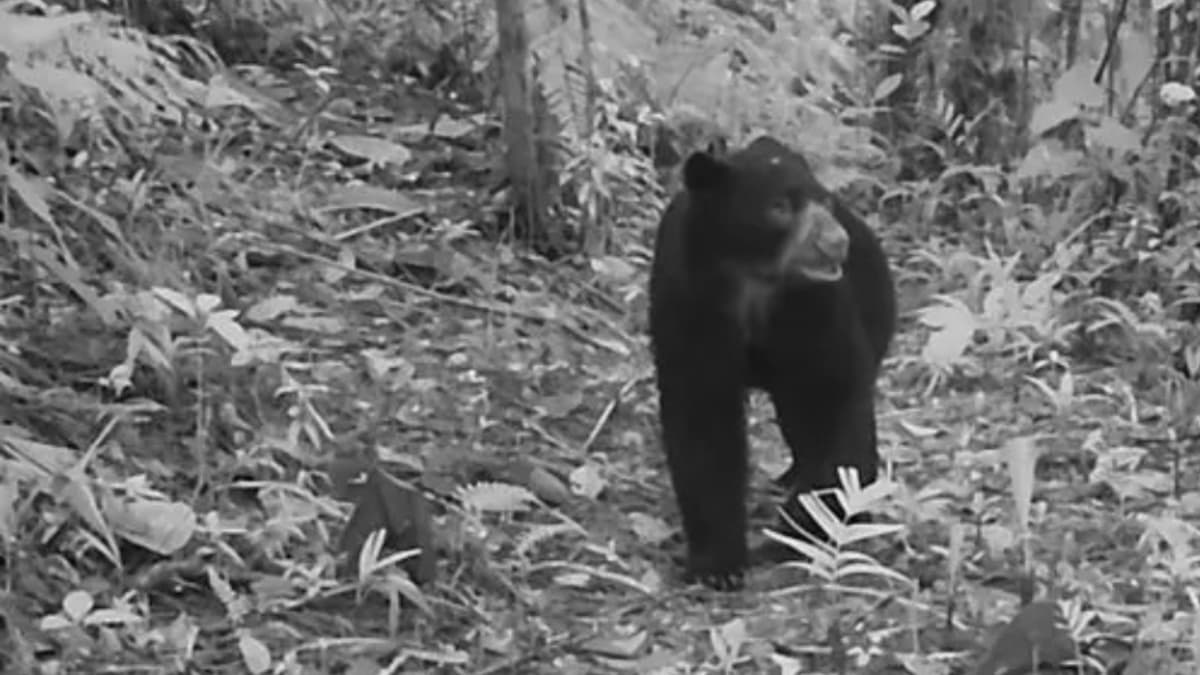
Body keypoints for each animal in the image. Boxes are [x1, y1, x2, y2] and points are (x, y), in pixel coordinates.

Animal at [648, 135, 897, 590]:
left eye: (825, 201)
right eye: (779, 206)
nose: (836, 241)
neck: (752, 280)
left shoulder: (816, 304)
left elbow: (836, 394)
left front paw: (805, 526)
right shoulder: (687, 301)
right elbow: (701, 419)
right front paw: (718, 565)